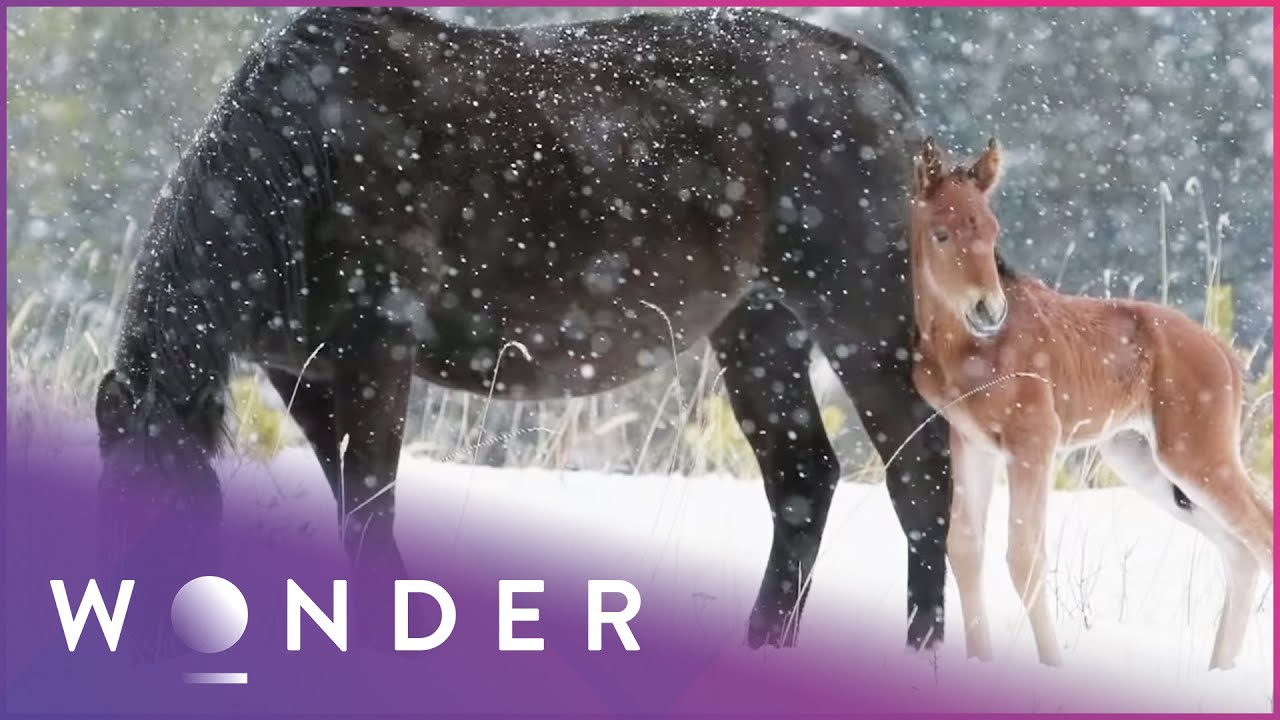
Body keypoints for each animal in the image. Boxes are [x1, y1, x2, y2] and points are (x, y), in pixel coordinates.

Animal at [93, 7, 956, 652]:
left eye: (175, 506)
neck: (312, 157)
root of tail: (883, 82)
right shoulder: (299, 371)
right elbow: (349, 500)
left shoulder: (376, 349)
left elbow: (371, 503)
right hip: (758, 328)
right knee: (804, 479)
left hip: (859, 312)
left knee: (921, 470)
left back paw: (922, 648)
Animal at [908, 137, 1274, 669]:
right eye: (941, 234)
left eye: (993, 231)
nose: (988, 309)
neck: (969, 349)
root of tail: (1221, 351)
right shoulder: (971, 442)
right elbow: (964, 547)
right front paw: (980, 665)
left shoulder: (1033, 441)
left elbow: (1024, 555)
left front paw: (1052, 668)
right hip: (1142, 460)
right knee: (1240, 553)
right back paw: (1218, 670)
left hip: (1196, 455)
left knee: (1261, 535)